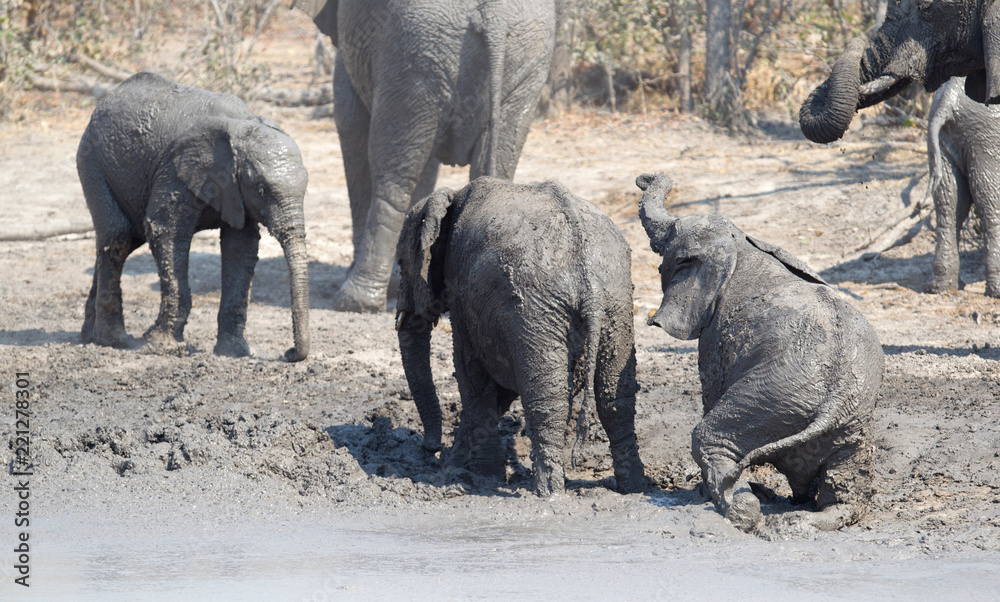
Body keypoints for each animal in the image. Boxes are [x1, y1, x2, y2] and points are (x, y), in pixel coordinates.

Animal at [77, 71, 310, 361]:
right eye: (261, 189)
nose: (288, 352)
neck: (242, 124)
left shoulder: (236, 192)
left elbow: (241, 247)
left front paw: (234, 352)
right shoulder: (175, 170)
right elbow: (166, 231)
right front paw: (163, 346)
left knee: (118, 240)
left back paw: (90, 337)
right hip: (92, 160)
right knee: (119, 237)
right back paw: (114, 341)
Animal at [294, 0, 557, 313]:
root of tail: (493, 16)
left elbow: (351, 126)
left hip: (412, 59)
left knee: (393, 180)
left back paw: (355, 302)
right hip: (521, 64)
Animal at [394, 176, 646, 496]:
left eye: (400, 265)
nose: (430, 449)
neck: (453, 196)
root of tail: (588, 279)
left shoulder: (464, 292)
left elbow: (471, 374)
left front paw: (483, 477)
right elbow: (501, 386)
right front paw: (455, 465)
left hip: (536, 307)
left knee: (547, 398)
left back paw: (548, 492)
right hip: (616, 300)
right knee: (615, 398)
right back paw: (633, 487)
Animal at [637, 173, 884, 533]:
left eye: (668, 237)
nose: (643, 178)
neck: (741, 247)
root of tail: (834, 403)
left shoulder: (713, 335)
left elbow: (710, 389)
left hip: (774, 396)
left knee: (709, 438)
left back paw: (737, 508)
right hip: (852, 424)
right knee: (845, 487)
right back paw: (800, 517)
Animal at [927, 76, 1000, 297]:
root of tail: (949, 98)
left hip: (946, 140)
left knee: (949, 204)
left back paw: (942, 287)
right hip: (987, 137)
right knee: (990, 206)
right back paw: (996, 291)